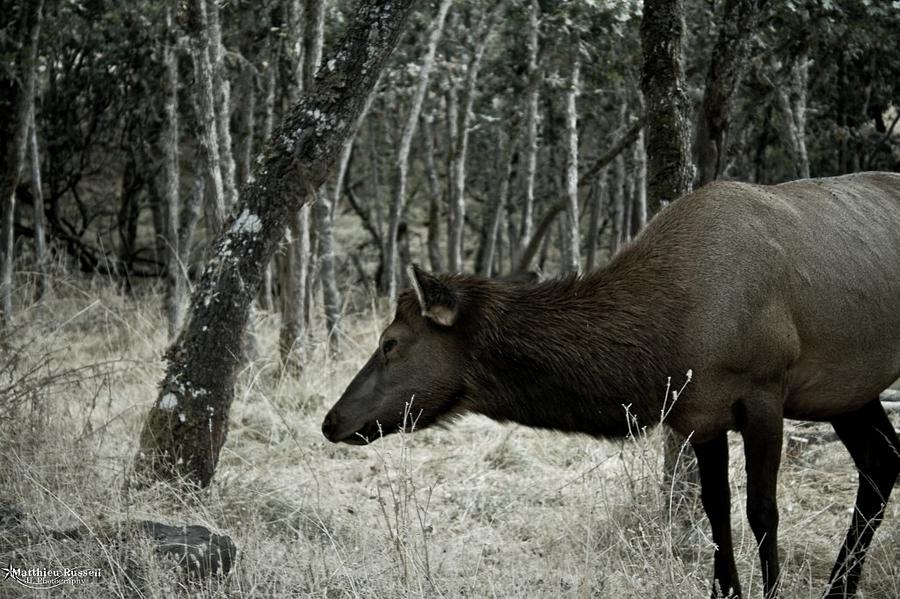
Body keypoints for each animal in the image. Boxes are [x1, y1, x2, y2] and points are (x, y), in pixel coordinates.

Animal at [324, 171, 900, 596]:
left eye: (390, 342)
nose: (332, 421)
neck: (664, 343)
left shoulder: (764, 391)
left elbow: (762, 511)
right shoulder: (700, 414)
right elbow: (716, 510)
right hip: (847, 389)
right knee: (882, 459)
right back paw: (839, 587)